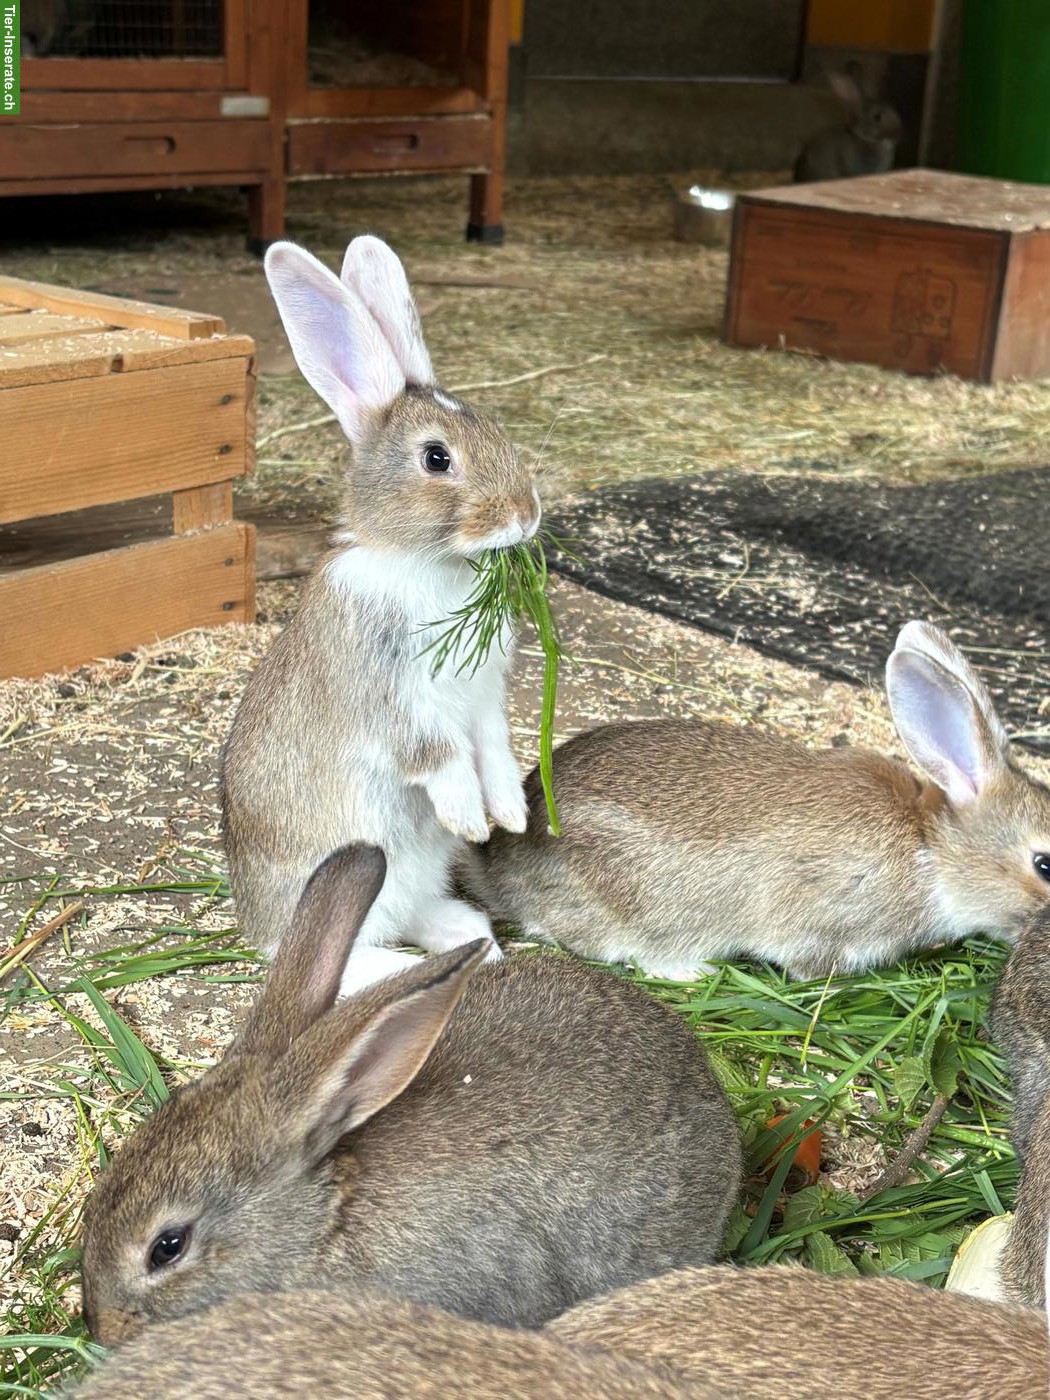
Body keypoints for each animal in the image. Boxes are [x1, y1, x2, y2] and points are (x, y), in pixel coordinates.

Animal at [222, 234, 541, 995]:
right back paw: (398, 969)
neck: (423, 560)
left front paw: (507, 815)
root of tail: (257, 922)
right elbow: (438, 753)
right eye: (436, 458)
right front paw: (469, 815)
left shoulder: (485, 700)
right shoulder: (390, 693)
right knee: (330, 960)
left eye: (494, 428)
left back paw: (476, 945)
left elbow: (491, 747)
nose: (526, 515)